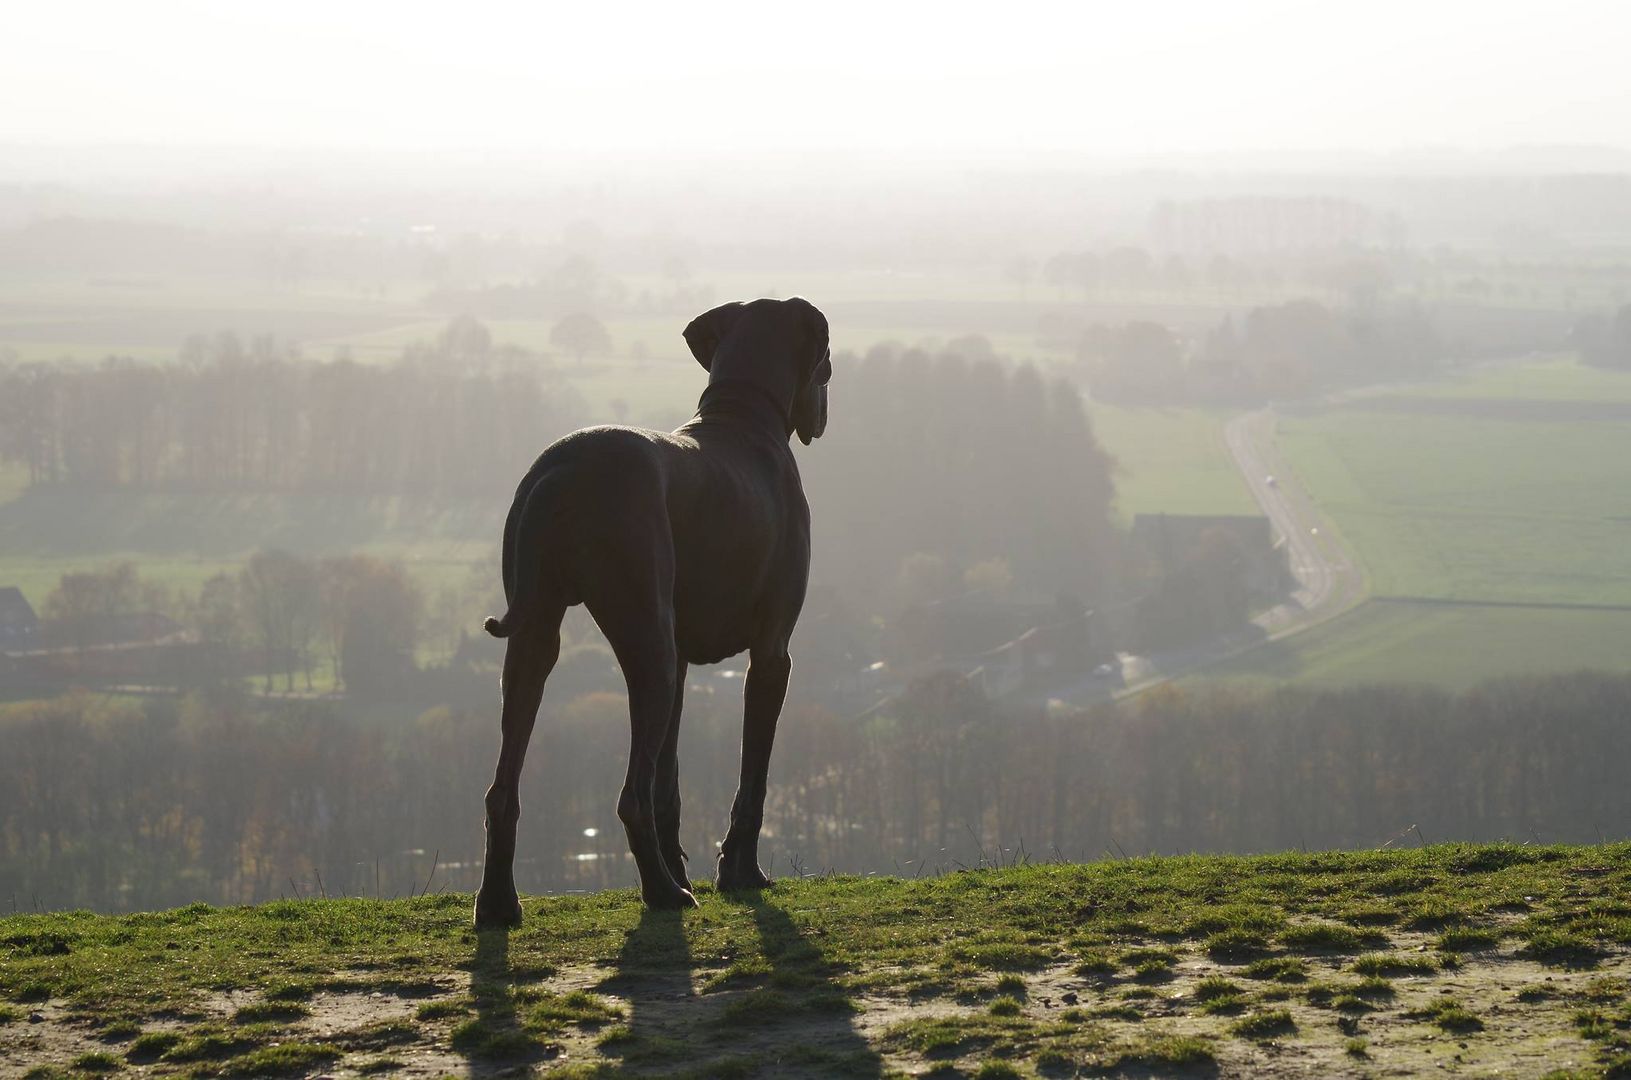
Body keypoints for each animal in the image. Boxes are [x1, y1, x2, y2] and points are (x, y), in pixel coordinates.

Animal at [469, 298, 828, 933]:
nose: (826, 409)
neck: (742, 416)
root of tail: (562, 469)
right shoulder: (771, 655)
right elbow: (752, 776)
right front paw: (741, 873)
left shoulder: (682, 660)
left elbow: (671, 778)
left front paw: (687, 864)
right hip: (647, 643)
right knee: (629, 795)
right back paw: (663, 892)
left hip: (539, 637)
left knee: (503, 785)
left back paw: (498, 902)